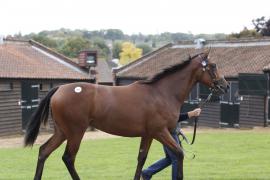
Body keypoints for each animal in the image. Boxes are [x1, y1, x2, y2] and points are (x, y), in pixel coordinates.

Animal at [24, 50, 228, 179]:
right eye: (213, 66)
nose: (225, 86)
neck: (162, 93)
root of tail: (59, 89)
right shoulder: (160, 132)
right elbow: (178, 154)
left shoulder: (148, 135)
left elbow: (141, 159)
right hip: (75, 132)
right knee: (68, 158)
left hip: (62, 132)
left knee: (44, 151)